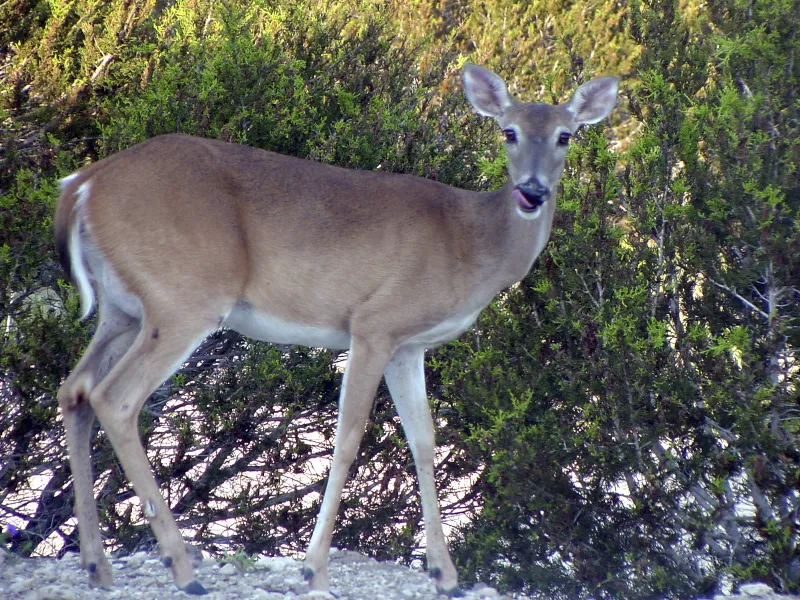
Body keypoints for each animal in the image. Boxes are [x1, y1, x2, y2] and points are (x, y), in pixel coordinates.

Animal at [56, 62, 620, 596]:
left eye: (565, 135)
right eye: (508, 131)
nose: (532, 192)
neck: (468, 243)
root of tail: (83, 184)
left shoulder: (409, 346)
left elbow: (423, 439)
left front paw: (445, 575)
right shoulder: (374, 324)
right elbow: (348, 438)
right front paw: (314, 571)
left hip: (123, 310)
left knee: (75, 388)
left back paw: (97, 566)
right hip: (184, 298)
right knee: (116, 398)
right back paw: (182, 569)